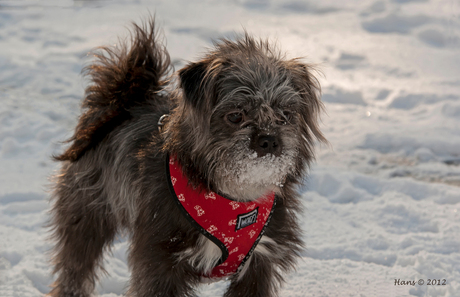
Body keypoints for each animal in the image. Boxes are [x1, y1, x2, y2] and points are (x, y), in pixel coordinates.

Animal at [48, 18, 326, 296]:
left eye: (285, 115)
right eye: (236, 115)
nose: (268, 139)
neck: (234, 197)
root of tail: (121, 103)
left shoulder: (260, 262)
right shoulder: (160, 262)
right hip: (86, 217)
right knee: (75, 269)